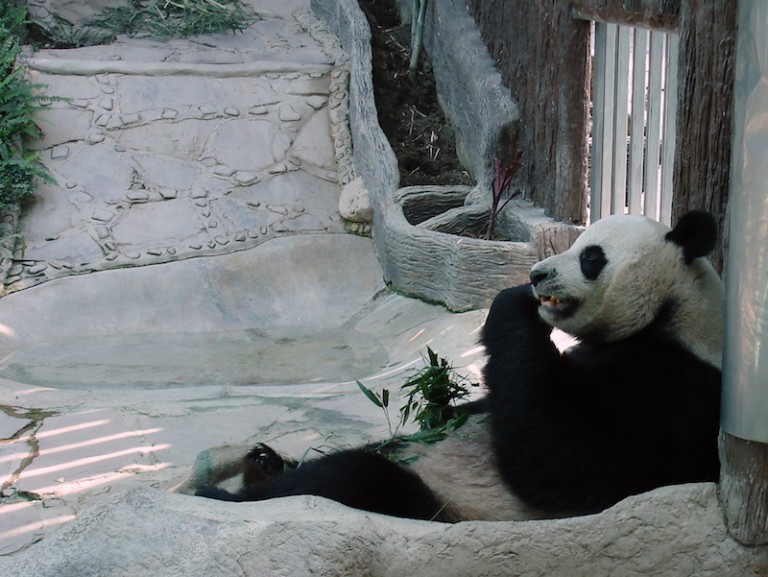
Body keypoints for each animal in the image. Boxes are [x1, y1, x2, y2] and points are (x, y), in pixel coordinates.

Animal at [196, 210, 724, 522]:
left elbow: (562, 461)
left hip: (448, 504)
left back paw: (234, 493)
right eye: (575, 246)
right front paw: (442, 403)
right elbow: (483, 408)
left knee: (353, 478)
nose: (538, 274)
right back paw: (265, 464)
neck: (668, 313)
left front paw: (511, 303)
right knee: (381, 449)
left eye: (592, 257)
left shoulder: (674, 387)